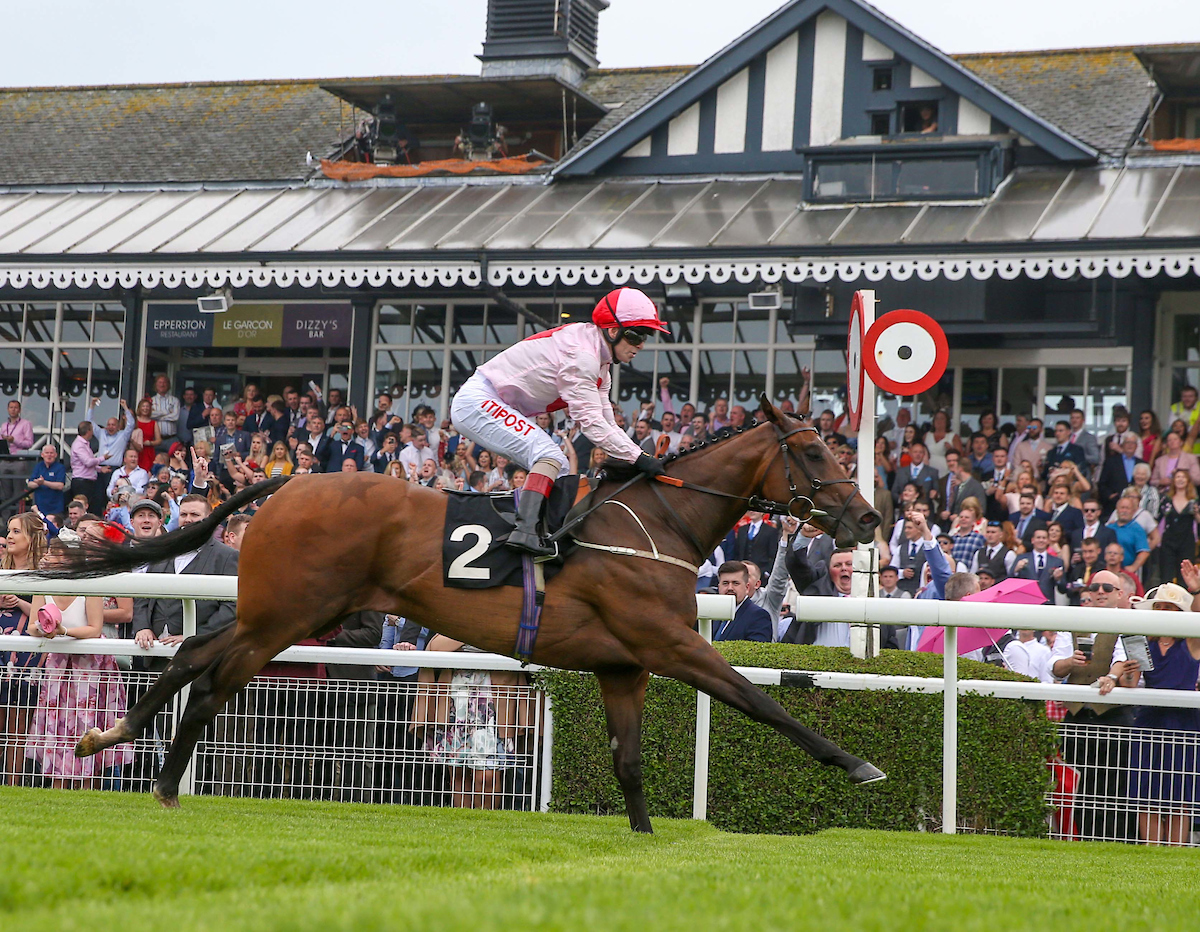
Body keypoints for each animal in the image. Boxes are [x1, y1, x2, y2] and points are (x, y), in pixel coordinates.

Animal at [63, 395, 883, 834]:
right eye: (813, 453)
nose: (868, 518)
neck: (656, 524)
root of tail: (289, 484)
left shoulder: (623, 665)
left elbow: (629, 760)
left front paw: (647, 840)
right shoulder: (667, 643)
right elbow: (758, 700)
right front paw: (855, 763)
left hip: (283, 611)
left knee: (187, 656)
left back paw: (112, 737)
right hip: (284, 617)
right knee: (211, 681)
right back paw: (165, 782)